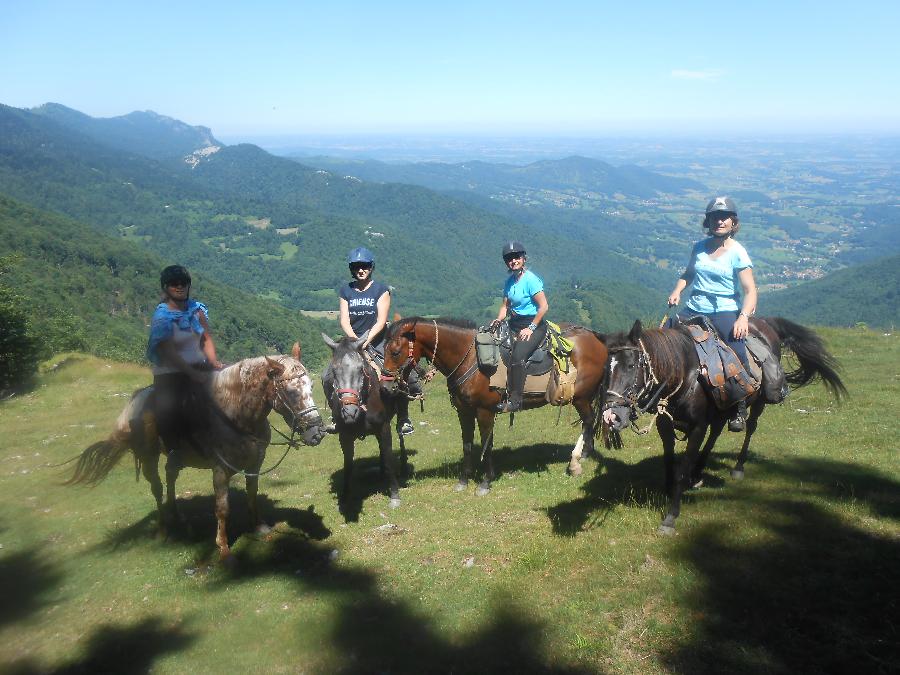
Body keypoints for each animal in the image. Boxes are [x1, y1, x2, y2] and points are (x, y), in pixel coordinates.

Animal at [67, 344, 326, 560]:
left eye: (312, 387)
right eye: (292, 392)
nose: (317, 432)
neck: (235, 415)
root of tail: (134, 403)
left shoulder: (255, 464)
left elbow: (252, 494)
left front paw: (259, 526)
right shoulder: (220, 470)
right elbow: (222, 508)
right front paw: (223, 547)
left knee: (170, 475)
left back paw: (177, 514)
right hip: (148, 456)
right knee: (157, 488)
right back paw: (162, 529)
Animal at [324, 332, 408, 512]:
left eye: (360, 369)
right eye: (334, 371)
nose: (349, 412)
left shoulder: (384, 428)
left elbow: (389, 458)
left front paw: (394, 495)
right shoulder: (344, 436)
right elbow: (348, 465)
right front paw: (344, 498)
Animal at [384, 316, 608, 496]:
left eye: (395, 352)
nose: (387, 386)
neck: (470, 359)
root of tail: (595, 337)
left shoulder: (485, 411)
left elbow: (486, 444)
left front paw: (486, 481)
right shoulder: (464, 412)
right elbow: (467, 444)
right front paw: (463, 480)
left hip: (581, 397)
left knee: (588, 420)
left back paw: (575, 461)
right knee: (589, 422)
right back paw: (586, 453)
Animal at [600, 316, 848, 532]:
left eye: (631, 366)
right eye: (605, 369)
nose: (612, 417)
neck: (685, 372)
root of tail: (765, 322)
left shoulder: (698, 427)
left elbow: (682, 469)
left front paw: (670, 516)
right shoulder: (664, 424)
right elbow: (669, 460)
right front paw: (668, 489)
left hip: (759, 403)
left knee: (750, 428)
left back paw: (737, 467)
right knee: (716, 432)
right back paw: (698, 472)